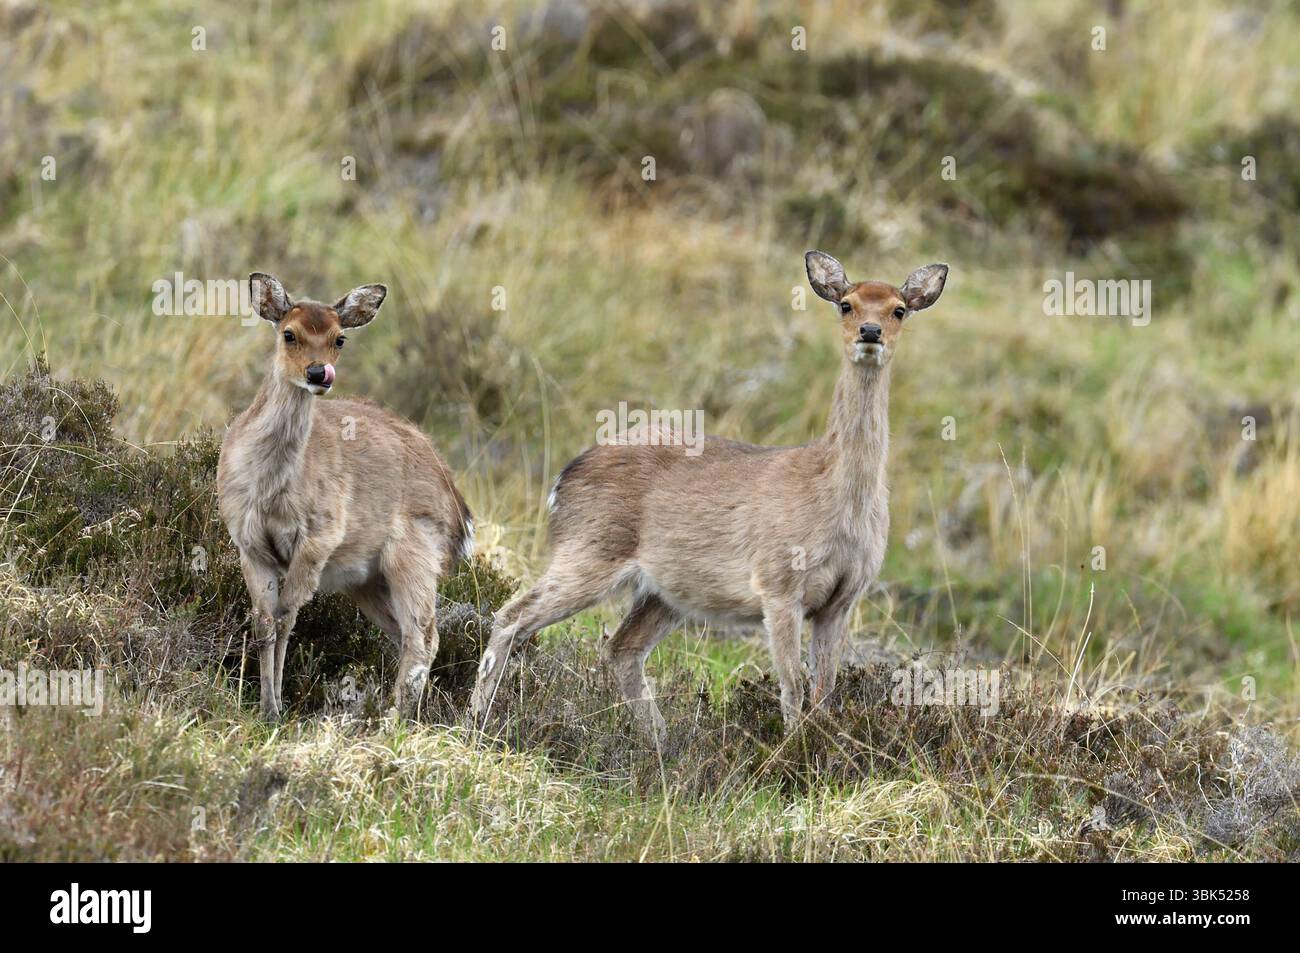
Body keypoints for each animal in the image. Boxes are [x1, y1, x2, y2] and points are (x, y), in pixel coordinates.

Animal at [217, 273, 473, 720]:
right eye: (289, 333)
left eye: (340, 338)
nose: (319, 373)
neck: (269, 491)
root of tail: (459, 507)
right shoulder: (248, 543)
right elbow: (264, 622)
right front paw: (266, 707)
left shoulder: (320, 537)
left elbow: (286, 617)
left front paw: (277, 710)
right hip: (367, 581)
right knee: (406, 633)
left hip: (416, 555)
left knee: (424, 635)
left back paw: (393, 719)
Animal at [469, 252, 948, 742]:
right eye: (846, 304)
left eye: (898, 309)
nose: (869, 333)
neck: (834, 498)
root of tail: (562, 479)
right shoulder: (778, 582)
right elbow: (793, 686)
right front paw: (794, 751)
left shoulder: (843, 598)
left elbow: (824, 691)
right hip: (589, 549)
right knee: (511, 616)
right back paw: (477, 723)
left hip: (665, 592)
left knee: (621, 650)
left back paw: (663, 744)